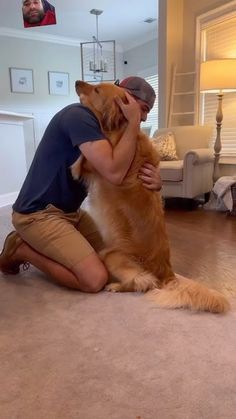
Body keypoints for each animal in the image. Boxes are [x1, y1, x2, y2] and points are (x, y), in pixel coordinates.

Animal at [71, 80, 230, 314]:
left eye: (97, 89)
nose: (77, 82)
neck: (122, 130)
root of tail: (168, 274)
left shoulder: (103, 165)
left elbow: (82, 159)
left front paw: (73, 167)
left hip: (111, 255)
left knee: (143, 282)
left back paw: (117, 286)